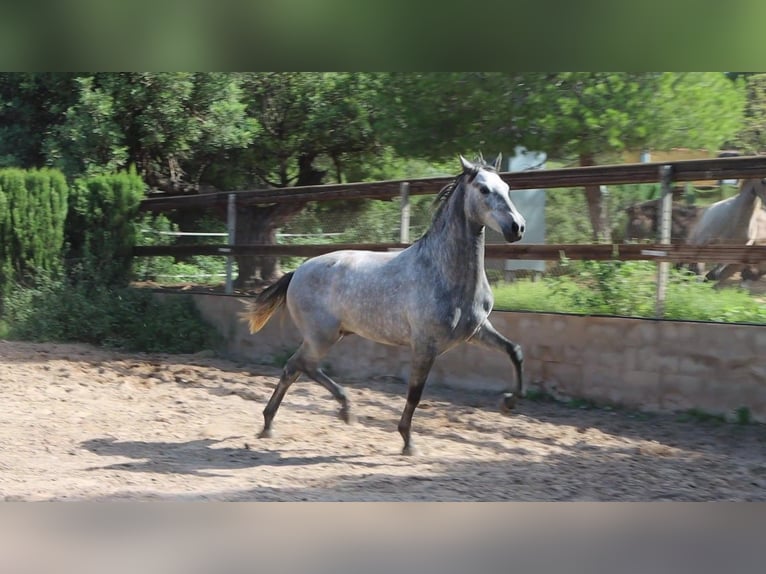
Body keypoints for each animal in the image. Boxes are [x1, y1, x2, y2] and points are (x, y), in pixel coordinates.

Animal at [244, 155, 528, 456]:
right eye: (484, 189)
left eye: (507, 187)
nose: (517, 227)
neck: (443, 271)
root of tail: (297, 271)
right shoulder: (425, 345)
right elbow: (415, 393)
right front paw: (408, 442)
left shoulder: (475, 331)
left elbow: (515, 351)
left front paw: (509, 402)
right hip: (322, 336)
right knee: (301, 365)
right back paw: (341, 409)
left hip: (329, 335)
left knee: (294, 368)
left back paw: (273, 424)